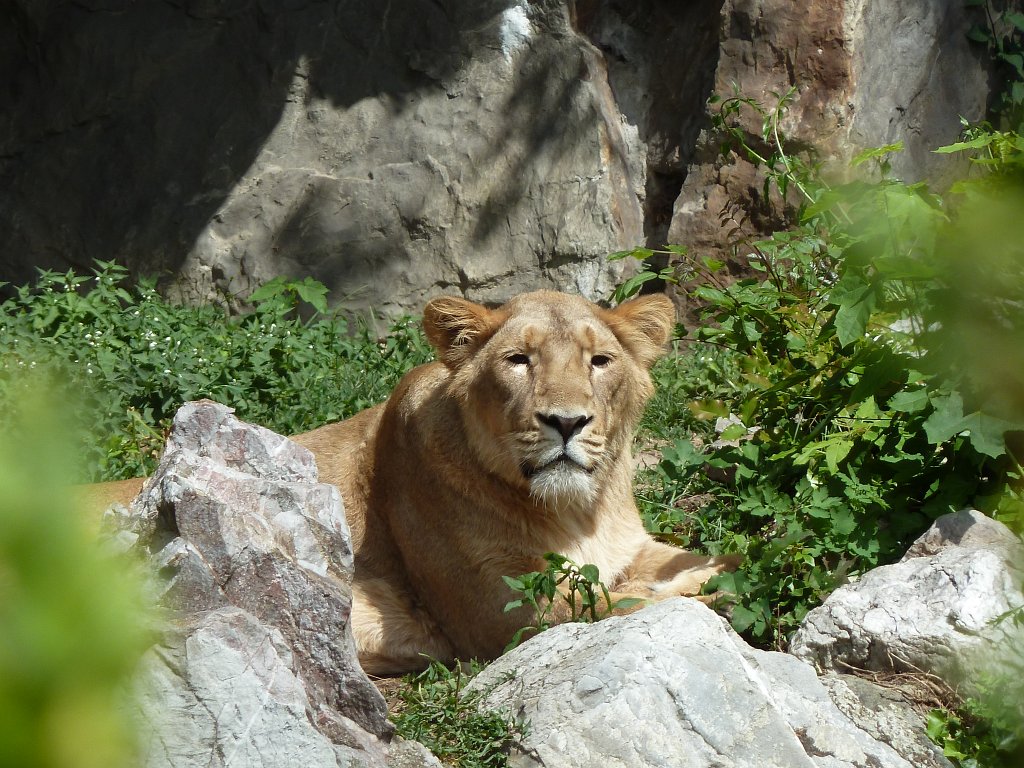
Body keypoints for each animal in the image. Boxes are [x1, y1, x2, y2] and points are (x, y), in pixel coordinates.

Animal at [84, 290, 738, 674]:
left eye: (599, 361)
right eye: (518, 360)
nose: (567, 422)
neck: (575, 511)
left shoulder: (631, 550)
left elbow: (691, 562)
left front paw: (733, 568)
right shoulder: (500, 614)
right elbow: (616, 604)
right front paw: (709, 597)